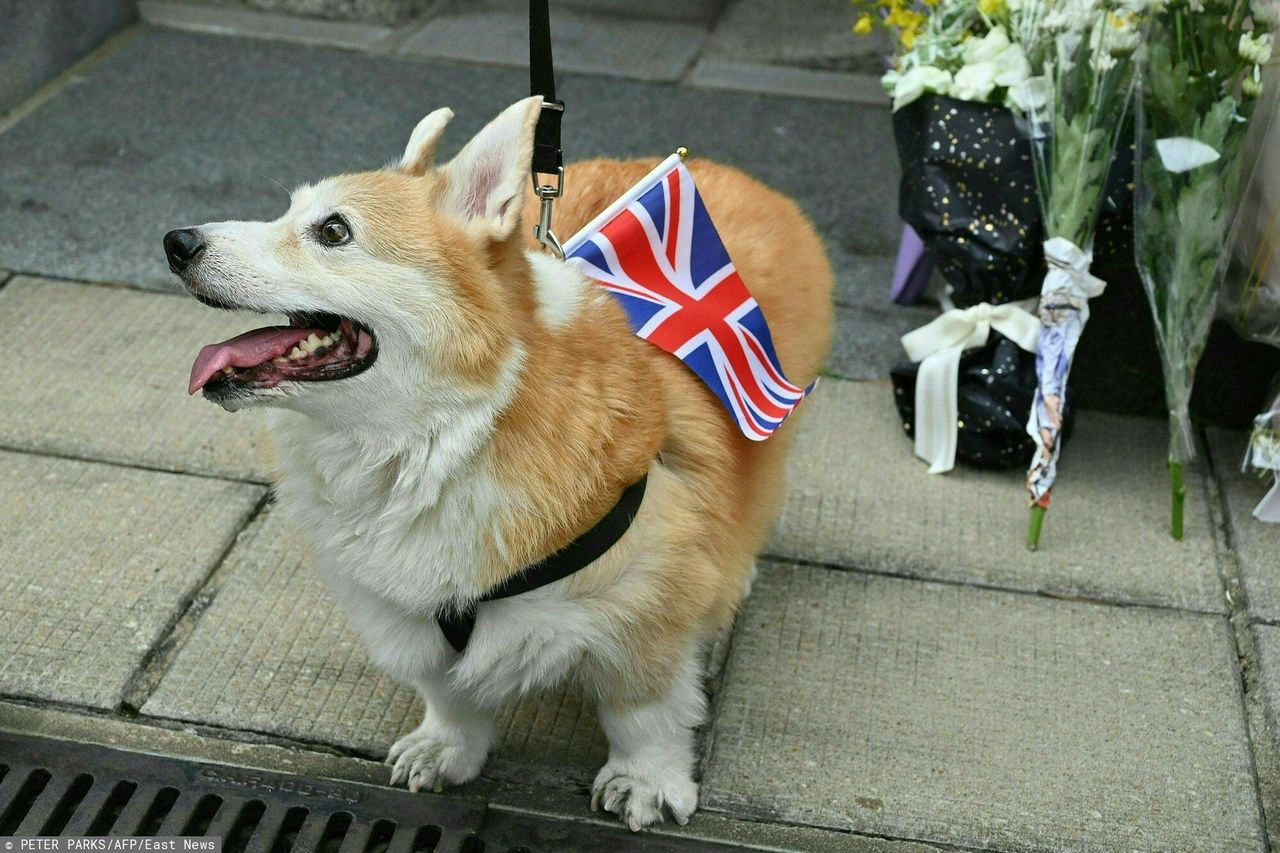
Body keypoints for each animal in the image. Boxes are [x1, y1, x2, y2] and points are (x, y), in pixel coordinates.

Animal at [165, 96, 834, 824]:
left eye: (334, 231)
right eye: (288, 214)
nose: (176, 243)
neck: (445, 435)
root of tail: (734, 174)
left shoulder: (647, 612)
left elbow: (644, 713)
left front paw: (647, 783)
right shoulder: (406, 611)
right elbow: (449, 694)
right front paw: (445, 749)